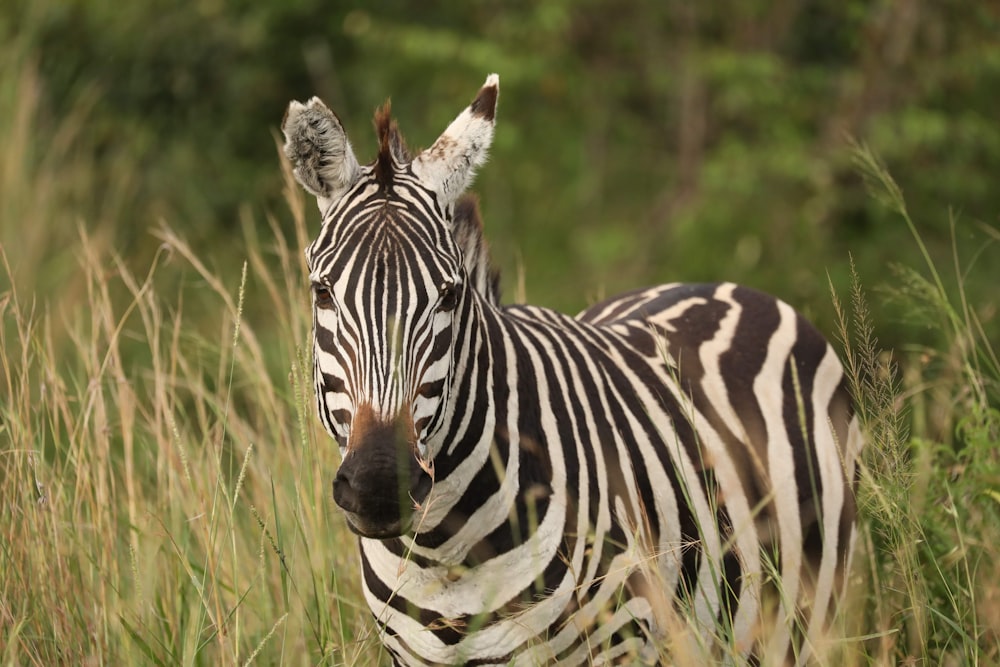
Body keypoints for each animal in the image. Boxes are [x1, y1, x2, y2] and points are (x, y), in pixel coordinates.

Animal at [282, 74, 868, 667]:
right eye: (322, 291)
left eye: (449, 295)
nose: (381, 486)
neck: (443, 553)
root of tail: (724, 286)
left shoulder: (618, 643)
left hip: (809, 615)